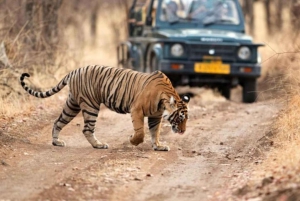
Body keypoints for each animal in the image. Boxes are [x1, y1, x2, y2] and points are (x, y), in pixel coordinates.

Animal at [19, 65, 190, 152]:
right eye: (180, 118)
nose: (183, 131)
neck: (164, 98)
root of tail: (74, 71)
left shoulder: (155, 116)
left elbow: (155, 132)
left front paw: (158, 146)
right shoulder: (136, 110)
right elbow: (141, 132)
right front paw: (132, 140)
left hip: (72, 104)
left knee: (58, 121)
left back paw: (57, 142)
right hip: (90, 105)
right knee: (87, 129)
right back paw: (99, 145)